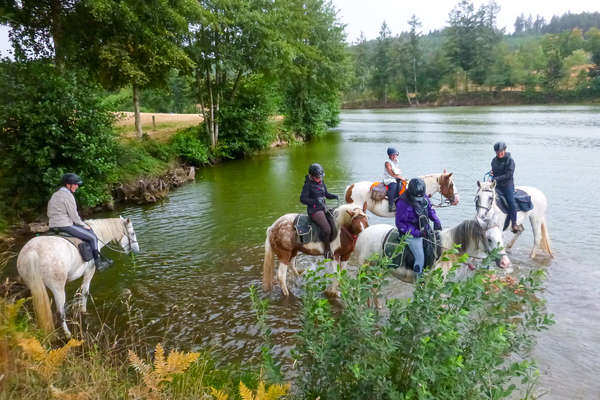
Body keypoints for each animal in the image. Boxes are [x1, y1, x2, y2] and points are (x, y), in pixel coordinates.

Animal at [354, 217, 512, 282]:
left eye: (502, 236)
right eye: (489, 239)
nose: (505, 262)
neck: (449, 249)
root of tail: (363, 233)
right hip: (365, 268)